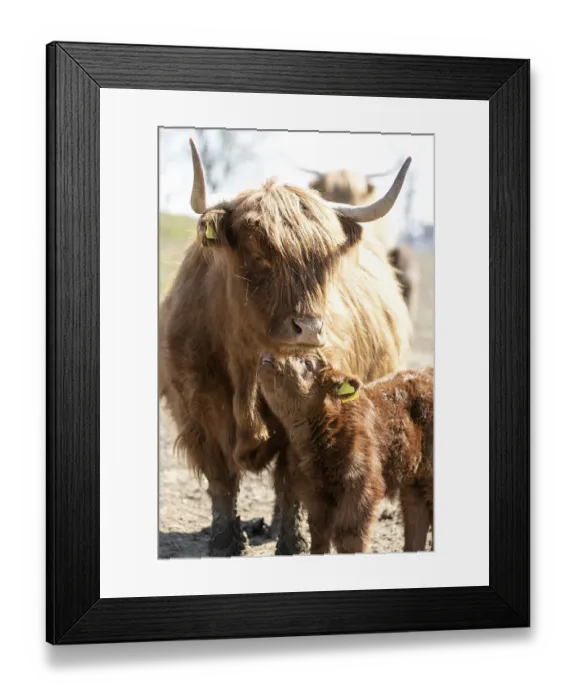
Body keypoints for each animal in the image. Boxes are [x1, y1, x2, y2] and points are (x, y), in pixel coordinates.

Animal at [258, 354, 434, 554]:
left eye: (308, 362)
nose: (268, 357)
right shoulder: (314, 493)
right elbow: (319, 537)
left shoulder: (361, 489)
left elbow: (350, 539)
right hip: (414, 480)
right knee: (417, 516)